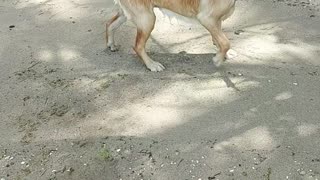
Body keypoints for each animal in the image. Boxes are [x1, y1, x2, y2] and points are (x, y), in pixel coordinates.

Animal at [106, 0, 236, 71]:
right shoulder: (207, 19)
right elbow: (225, 42)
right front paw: (218, 60)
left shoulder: (216, 21)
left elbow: (219, 40)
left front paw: (224, 55)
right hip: (147, 18)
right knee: (138, 46)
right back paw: (152, 65)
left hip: (128, 14)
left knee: (110, 24)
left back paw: (111, 44)